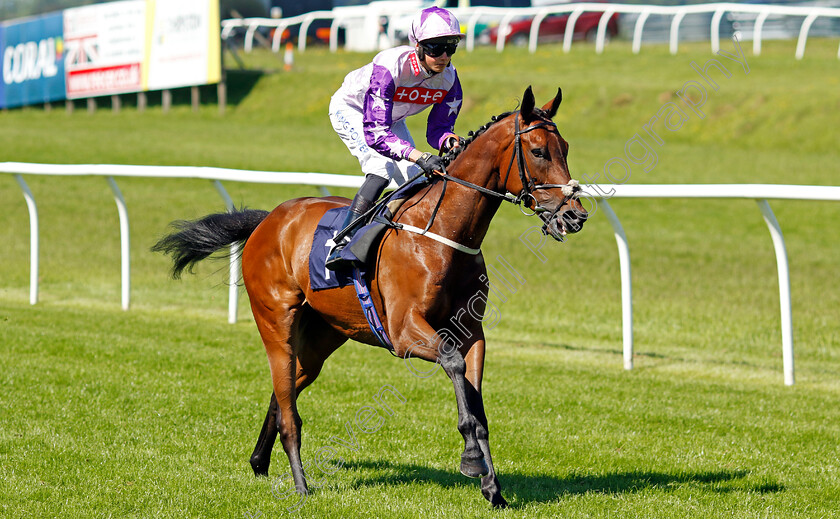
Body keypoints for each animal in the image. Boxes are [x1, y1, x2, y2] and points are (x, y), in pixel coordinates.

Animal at [153, 85, 584, 508]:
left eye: (565, 147)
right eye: (539, 151)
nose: (575, 214)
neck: (443, 234)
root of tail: (268, 220)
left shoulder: (472, 333)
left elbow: (477, 406)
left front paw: (494, 489)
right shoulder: (405, 332)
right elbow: (453, 365)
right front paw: (472, 461)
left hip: (323, 336)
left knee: (284, 391)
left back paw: (260, 462)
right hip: (275, 321)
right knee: (288, 407)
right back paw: (301, 486)